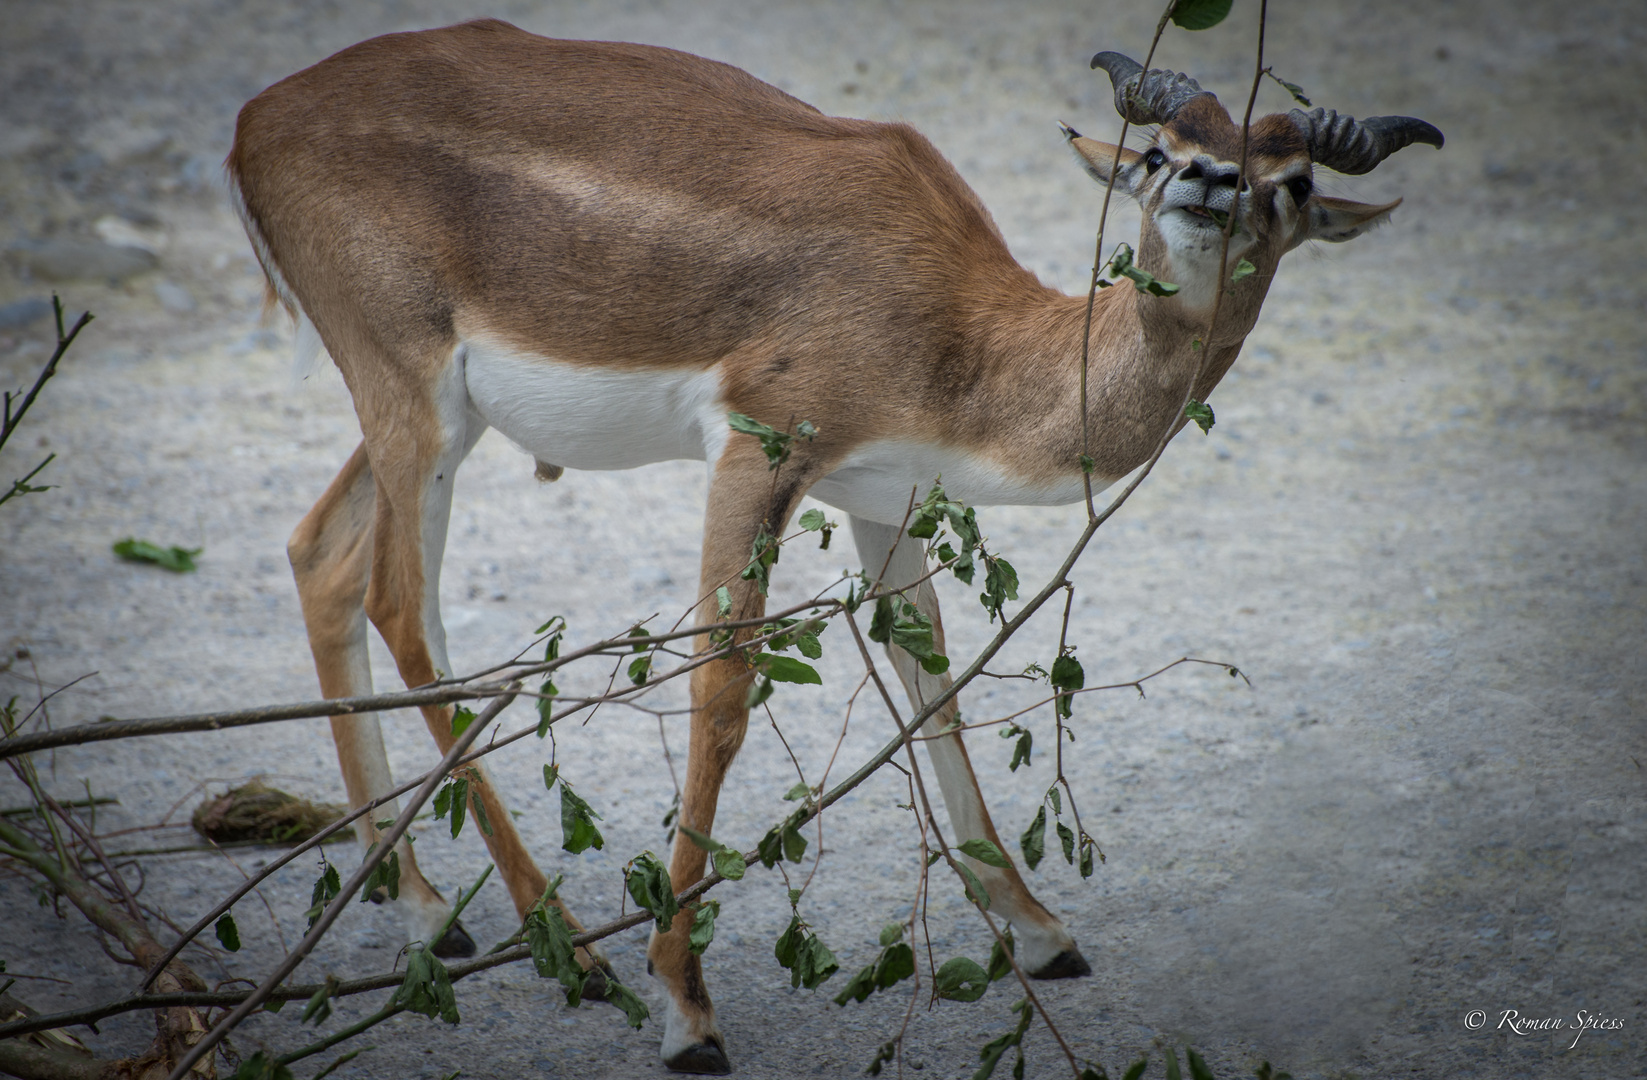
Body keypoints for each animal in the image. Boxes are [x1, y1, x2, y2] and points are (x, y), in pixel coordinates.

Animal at [228, 18, 1442, 1073]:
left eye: (1293, 183)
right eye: (1160, 150)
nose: (1208, 185)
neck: (966, 340)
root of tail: (254, 120)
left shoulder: (885, 495)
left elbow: (932, 681)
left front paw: (1043, 933)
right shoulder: (759, 451)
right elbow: (721, 694)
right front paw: (688, 1011)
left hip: (431, 414)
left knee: (318, 557)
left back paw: (431, 917)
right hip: (416, 394)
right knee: (399, 604)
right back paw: (568, 949)